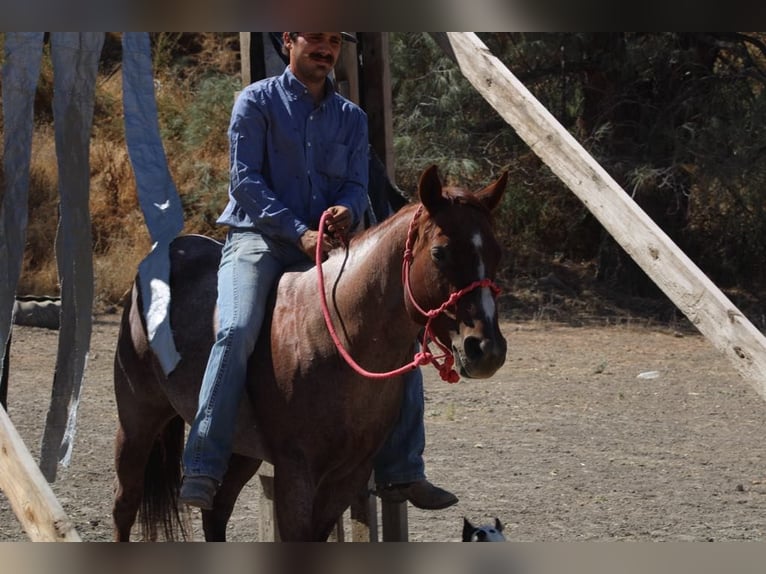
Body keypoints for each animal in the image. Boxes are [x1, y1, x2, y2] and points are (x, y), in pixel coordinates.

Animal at [111, 164, 510, 544]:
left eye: (496, 252)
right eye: (440, 253)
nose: (485, 349)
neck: (337, 335)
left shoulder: (349, 475)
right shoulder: (296, 473)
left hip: (241, 451)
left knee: (216, 513)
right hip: (137, 423)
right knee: (125, 506)